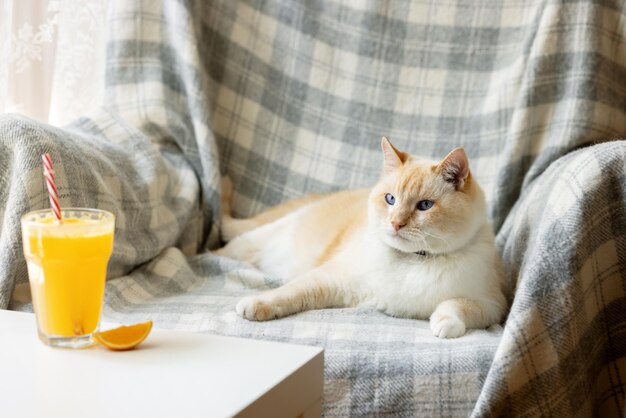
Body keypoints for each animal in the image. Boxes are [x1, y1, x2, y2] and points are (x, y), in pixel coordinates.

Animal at [214, 136, 508, 338]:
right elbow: (288, 293)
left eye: (424, 205)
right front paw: (257, 305)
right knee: (221, 248)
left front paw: (444, 324)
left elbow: (456, 305)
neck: (414, 261)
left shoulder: (493, 305)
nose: (396, 223)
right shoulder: (332, 278)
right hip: (253, 241)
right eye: (390, 199)